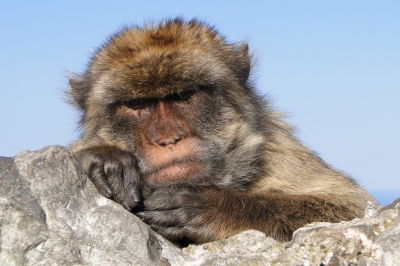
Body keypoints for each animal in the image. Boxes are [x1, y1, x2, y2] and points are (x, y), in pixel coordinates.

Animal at [68, 18, 378, 243]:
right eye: (136, 104)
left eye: (184, 95)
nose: (167, 138)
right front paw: (103, 159)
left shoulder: (276, 148)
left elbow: (353, 205)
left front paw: (214, 208)